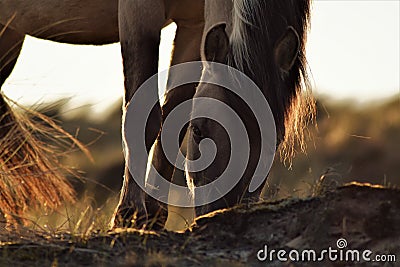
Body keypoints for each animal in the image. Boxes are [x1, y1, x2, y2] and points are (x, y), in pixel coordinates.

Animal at [0, 0, 314, 230]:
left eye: (275, 142)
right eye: (199, 131)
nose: (219, 217)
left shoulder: (194, 23)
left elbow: (173, 112)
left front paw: (152, 215)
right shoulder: (140, 13)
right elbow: (145, 115)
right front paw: (129, 213)